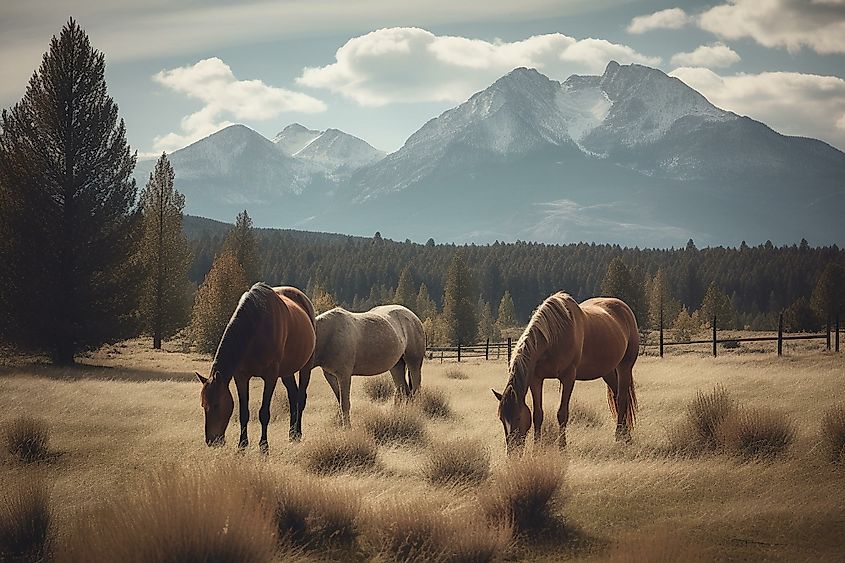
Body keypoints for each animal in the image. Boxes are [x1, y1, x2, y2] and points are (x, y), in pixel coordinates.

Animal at [195, 284, 316, 452]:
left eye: (217, 404)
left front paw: (264, 447)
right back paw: (291, 434)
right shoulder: (241, 376)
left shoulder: (271, 376)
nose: (212, 441)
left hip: (306, 366)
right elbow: (243, 413)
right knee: (293, 395)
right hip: (287, 372)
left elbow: (264, 413)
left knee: (300, 398)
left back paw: (297, 433)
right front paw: (242, 446)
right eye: (203, 405)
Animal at [492, 294, 636, 456]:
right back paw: (625, 434)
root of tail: (624, 308)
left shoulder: (568, 377)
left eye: (517, 417)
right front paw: (537, 448)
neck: (553, 337)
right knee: (617, 396)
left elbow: (562, 413)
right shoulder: (536, 380)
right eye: (501, 419)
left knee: (622, 398)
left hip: (625, 366)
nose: (512, 454)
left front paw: (562, 448)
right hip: (608, 371)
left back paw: (620, 437)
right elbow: (537, 414)